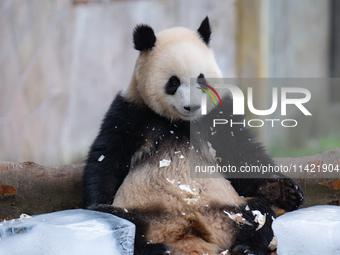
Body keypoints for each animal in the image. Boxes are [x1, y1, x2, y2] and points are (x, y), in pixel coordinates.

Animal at [82, 16, 302, 254]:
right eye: (174, 82)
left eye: (201, 78)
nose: (193, 106)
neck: (181, 123)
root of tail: (188, 229)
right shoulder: (131, 111)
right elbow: (107, 158)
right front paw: (97, 200)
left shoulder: (217, 114)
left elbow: (241, 154)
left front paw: (286, 191)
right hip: (143, 211)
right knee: (118, 220)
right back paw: (154, 248)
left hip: (228, 208)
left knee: (258, 211)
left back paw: (246, 246)